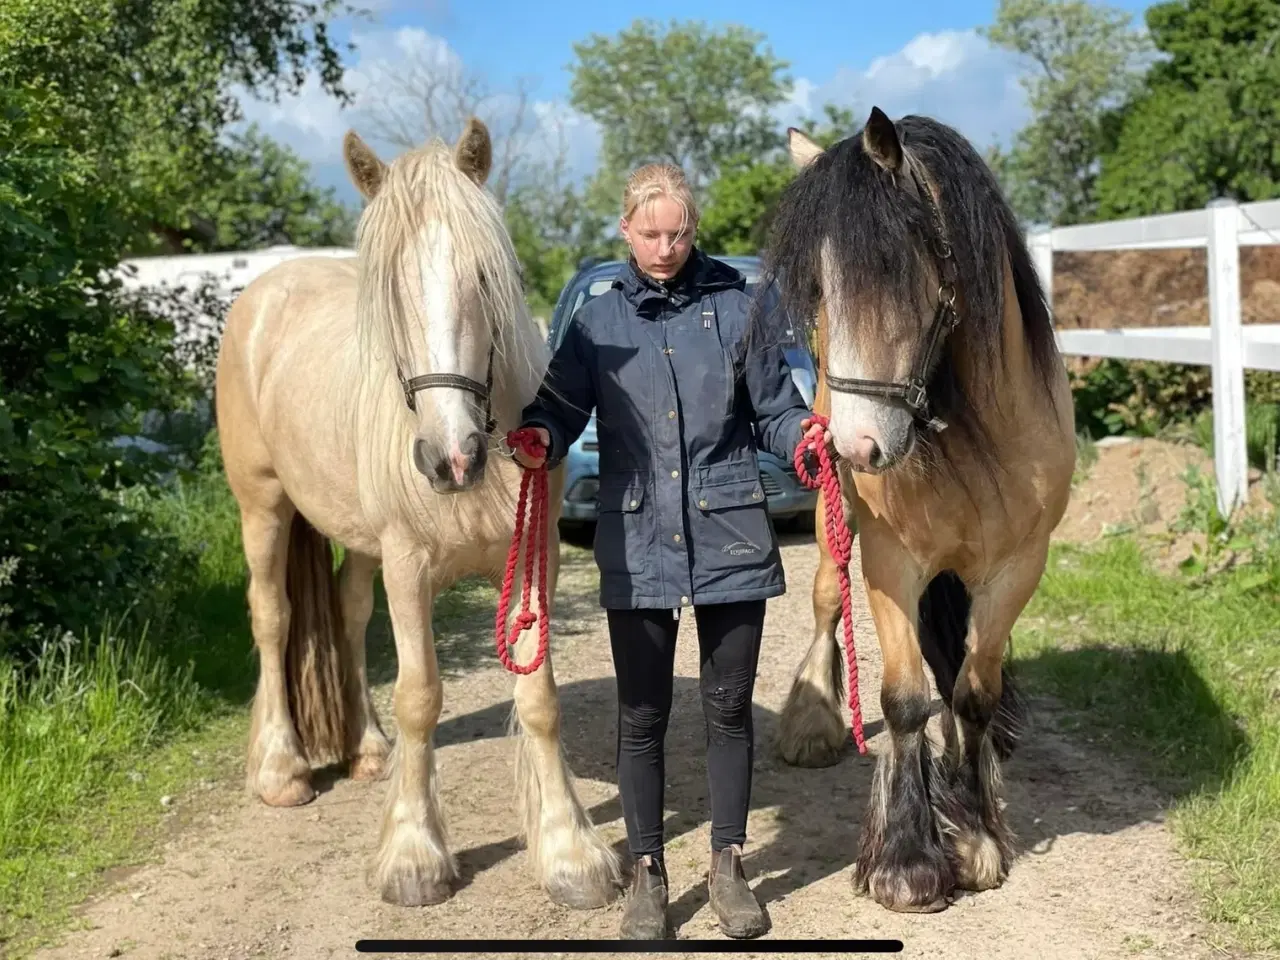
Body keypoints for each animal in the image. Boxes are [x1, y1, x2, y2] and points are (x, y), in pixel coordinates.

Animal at [216, 118, 624, 911]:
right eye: (388, 296)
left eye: (485, 279)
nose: (450, 458)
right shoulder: (407, 566)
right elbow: (419, 697)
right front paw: (414, 856)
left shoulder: (533, 560)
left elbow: (538, 699)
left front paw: (569, 854)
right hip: (263, 507)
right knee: (272, 617)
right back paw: (282, 769)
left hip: (356, 540)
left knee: (346, 616)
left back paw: (368, 749)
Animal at [762, 108, 1075, 911]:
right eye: (819, 290)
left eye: (892, 270)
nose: (855, 447)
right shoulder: (891, 561)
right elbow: (905, 699)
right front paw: (906, 860)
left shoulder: (1018, 568)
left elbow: (971, 693)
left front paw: (975, 835)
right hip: (833, 523)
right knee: (824, 602)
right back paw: (811, 722)